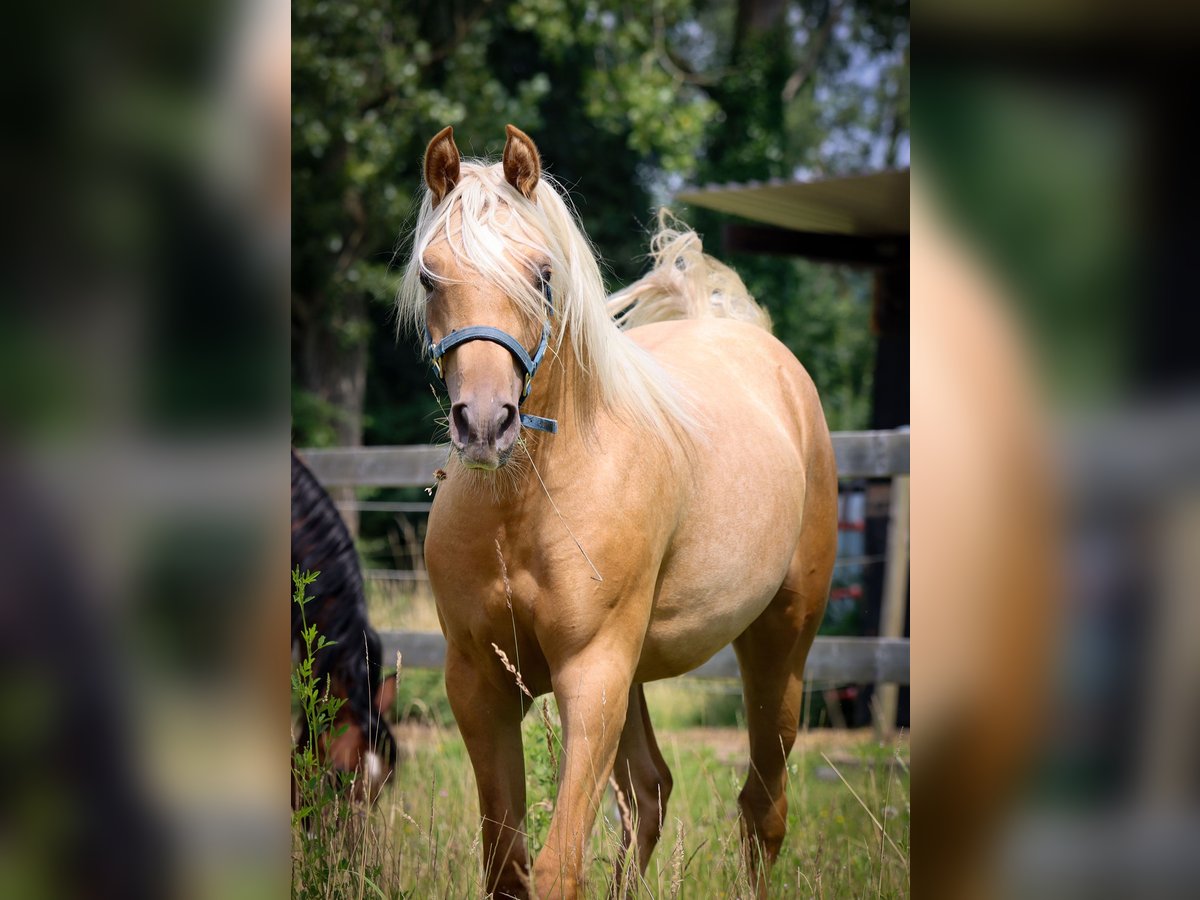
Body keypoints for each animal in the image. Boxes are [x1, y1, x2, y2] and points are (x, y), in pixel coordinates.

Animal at [400, 125, 835, 897]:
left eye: (542, 273)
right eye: (429, 276)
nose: (484, 423)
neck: (527, 506)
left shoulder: (591, 674)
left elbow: (555, 869)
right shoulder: (479, 683)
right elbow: (507, 864)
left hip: (779, 645)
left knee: (762, 807)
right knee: (650, 792)